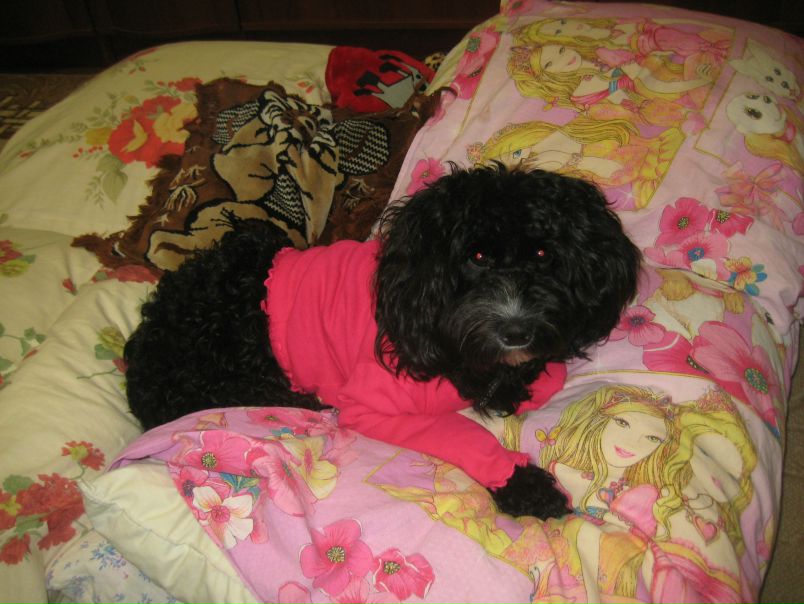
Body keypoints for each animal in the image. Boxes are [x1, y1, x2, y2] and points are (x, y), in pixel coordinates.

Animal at [124, 163, 641, 519]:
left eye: (542, 253)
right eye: (476, 256)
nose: (517, 331)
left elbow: (541, 375)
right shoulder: (371, 407)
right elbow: (465, 435)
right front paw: (523, 484)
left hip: (253, 240)